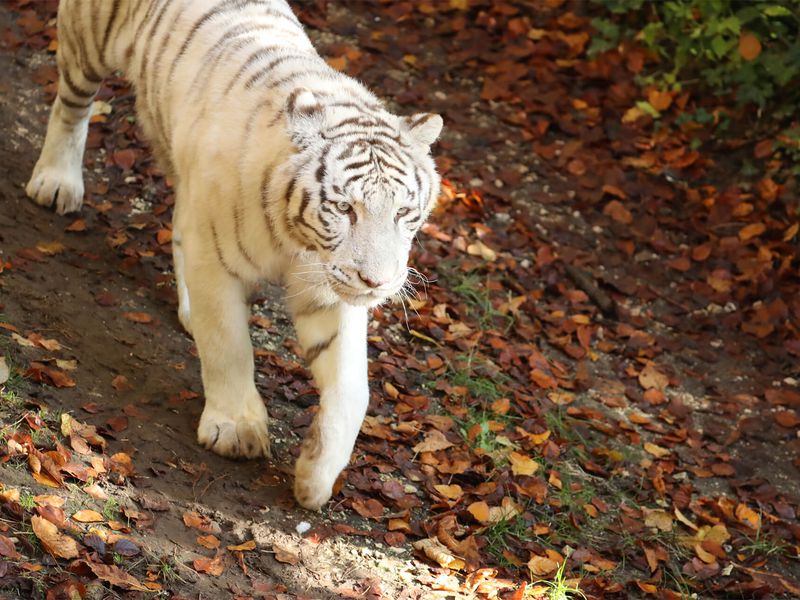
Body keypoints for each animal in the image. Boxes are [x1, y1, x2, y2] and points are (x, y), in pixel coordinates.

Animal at [25, 0, 442, 510]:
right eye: (345, 208)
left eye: (403, 212)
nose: (377, 283)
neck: (297, 239)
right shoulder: (216, 262)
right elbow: (229, 345)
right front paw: (236, 429)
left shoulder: (330, 287)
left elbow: (352, 388)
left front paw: (315, 475)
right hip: (88, 41)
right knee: (72, 104)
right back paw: (55, 181)